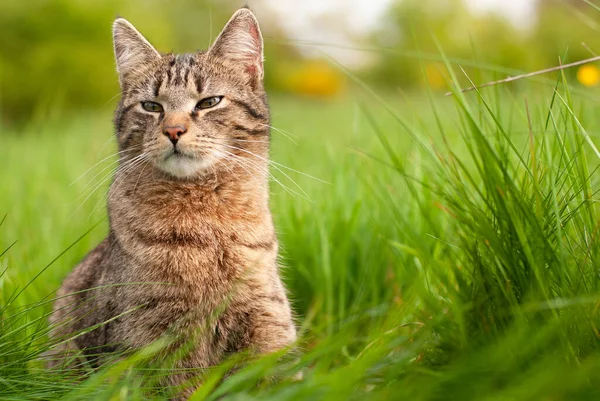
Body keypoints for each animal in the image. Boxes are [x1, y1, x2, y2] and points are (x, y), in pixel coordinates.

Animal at [48, 7, 296, 396]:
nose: (174, 130)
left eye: (209, 102)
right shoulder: (147, 339)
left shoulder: (267, 322)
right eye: (152, 106)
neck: (205, 222)